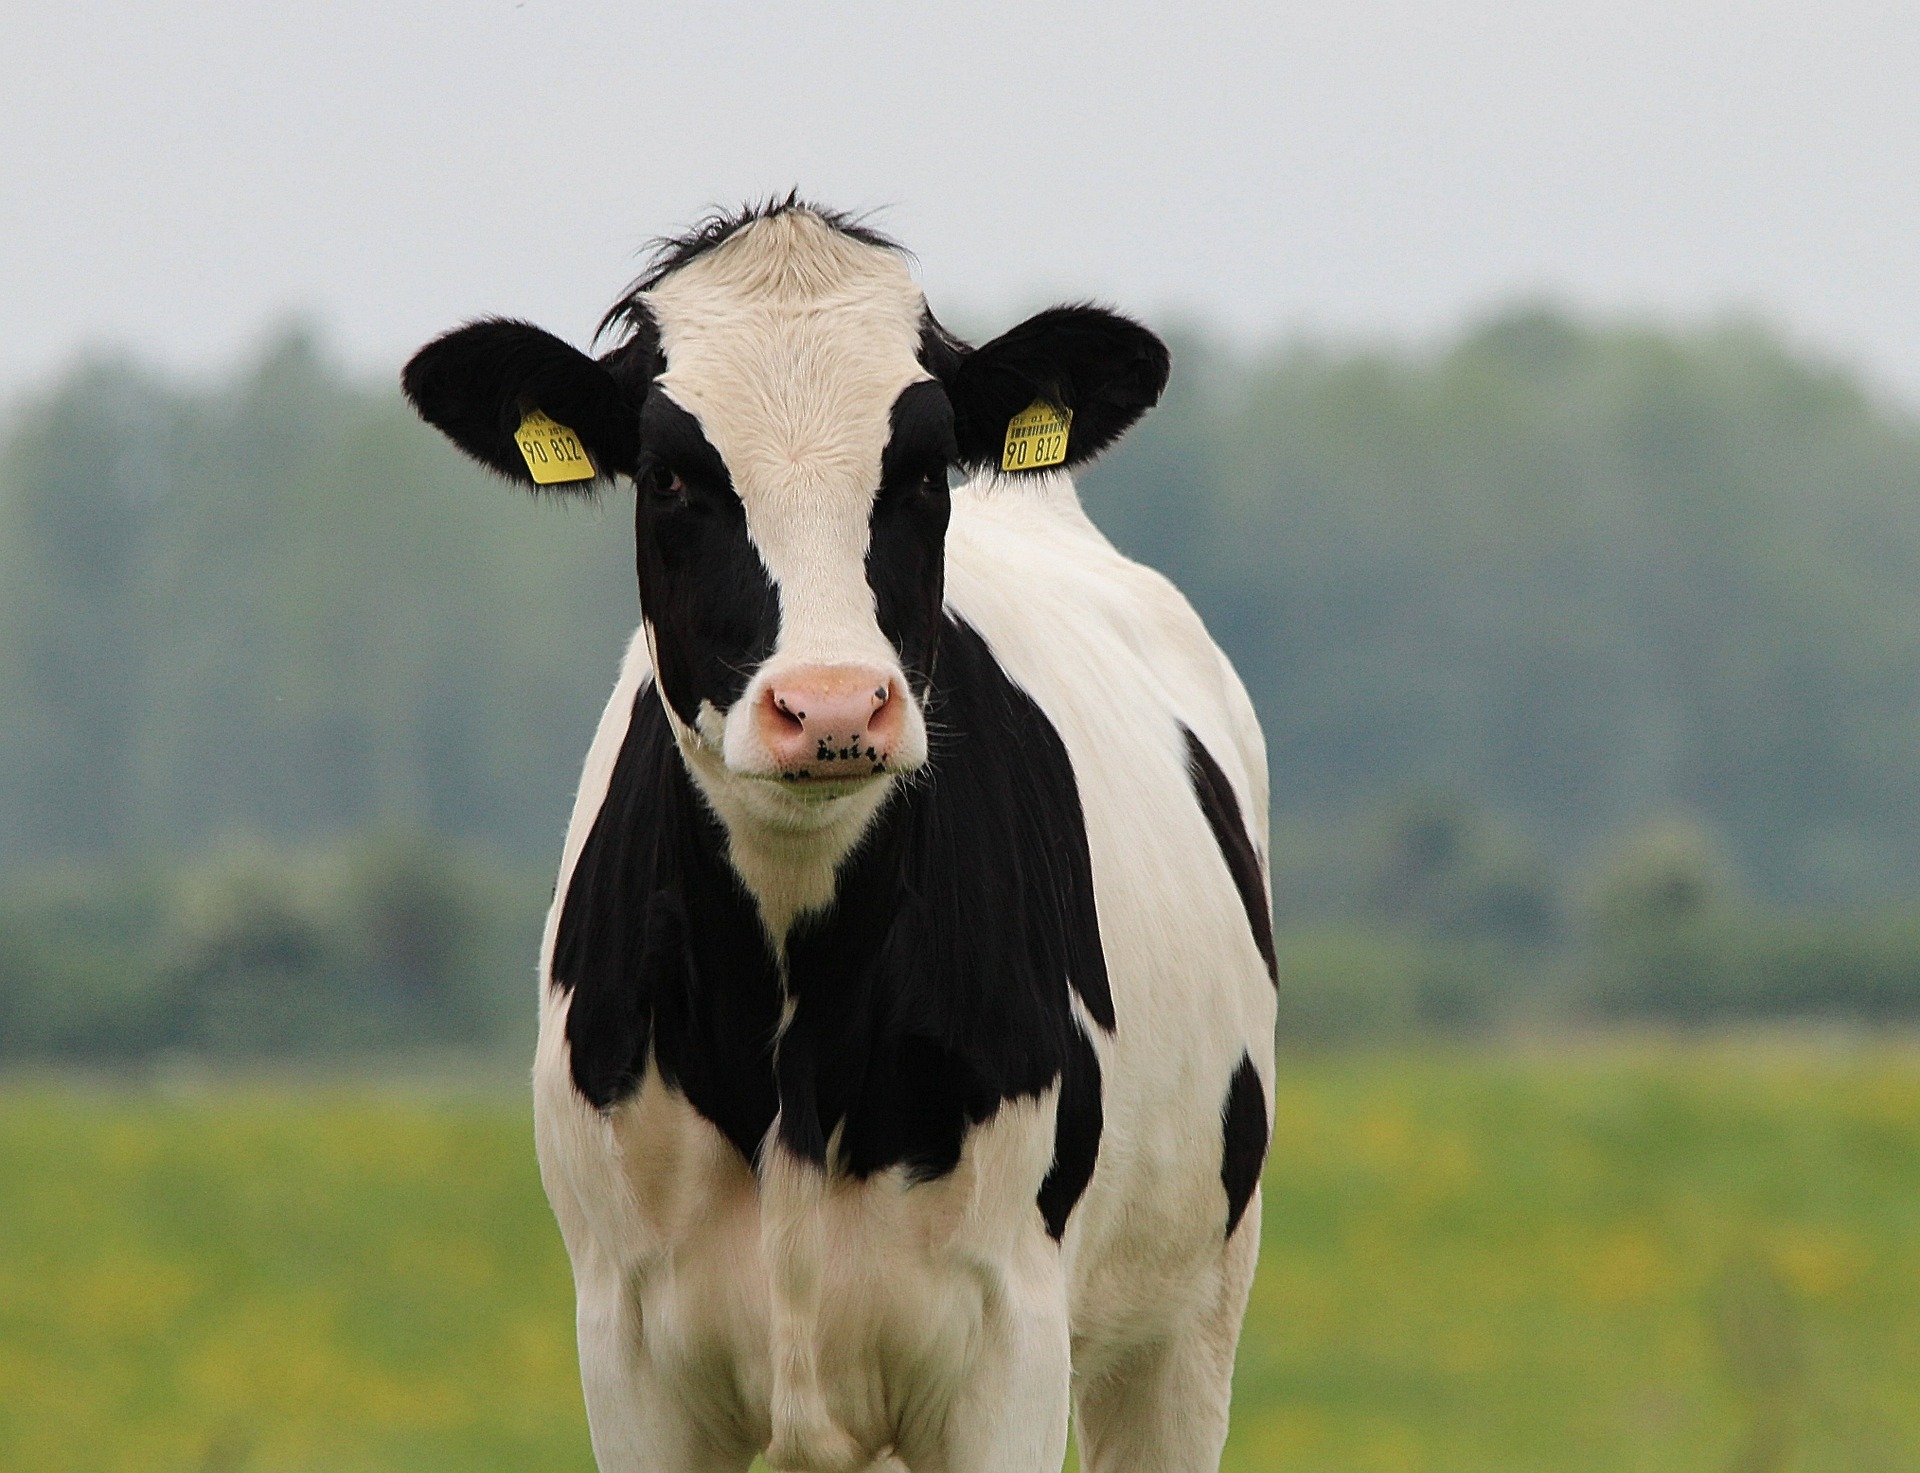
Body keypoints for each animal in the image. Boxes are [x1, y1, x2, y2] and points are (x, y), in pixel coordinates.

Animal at [401, 198, 1274, 1473]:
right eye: (670, 476)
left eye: (919, 470)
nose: (829, 706)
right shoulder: (626, 1350)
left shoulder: (1008, 1343)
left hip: (1188, 1320)